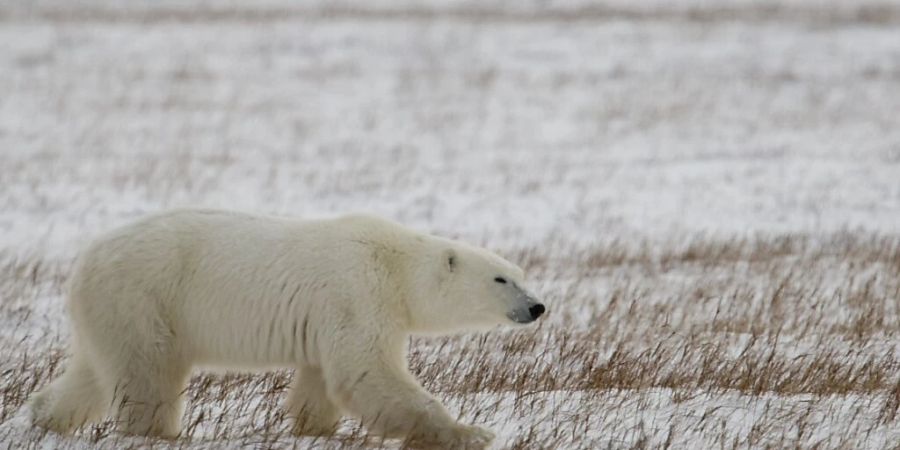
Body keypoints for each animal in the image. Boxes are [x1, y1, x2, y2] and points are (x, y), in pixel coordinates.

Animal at [28, 209, 544, 448]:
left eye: (521, 273)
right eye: (501, 279)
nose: (538, 306)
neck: (395, 265)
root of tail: (85, 261)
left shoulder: (332, 317)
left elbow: (322, 379)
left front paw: (315, 426)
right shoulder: (358, 293)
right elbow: (368, 373)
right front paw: (471, 431)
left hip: (112, 311)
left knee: (95, 372)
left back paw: (42, 416)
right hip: (146, 297)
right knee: (149, 373)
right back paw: (160, 431)